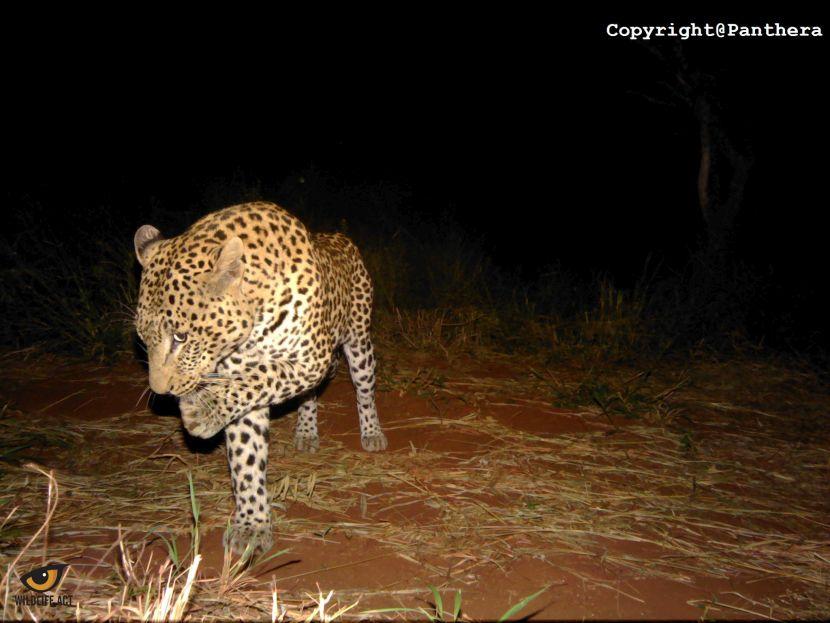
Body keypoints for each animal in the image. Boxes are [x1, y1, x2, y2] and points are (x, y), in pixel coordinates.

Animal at [132, 202, 386, 552]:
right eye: (143, 338)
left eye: (181, 337)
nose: (162, 390)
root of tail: (337, 236)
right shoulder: (245, 377)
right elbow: (246, 453)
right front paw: (251, 523)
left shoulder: (311, 359)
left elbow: (265, 376)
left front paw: (203, 410)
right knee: (309, 395)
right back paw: (306, 433)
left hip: (359, 342)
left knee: (363, 389)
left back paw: (372, 433)